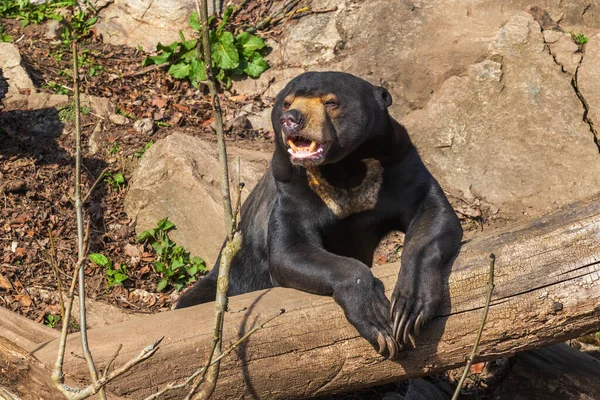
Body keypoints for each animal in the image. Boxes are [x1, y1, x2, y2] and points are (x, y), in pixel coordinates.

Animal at [176, 70, 462, 358]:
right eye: (287, 103)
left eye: (331, 102)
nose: (291, 120)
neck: (345, 168)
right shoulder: (291, 187)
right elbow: (289, 250)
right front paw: (378, 320)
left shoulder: (399, 164)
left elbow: (432, 213)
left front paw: (407, 310)